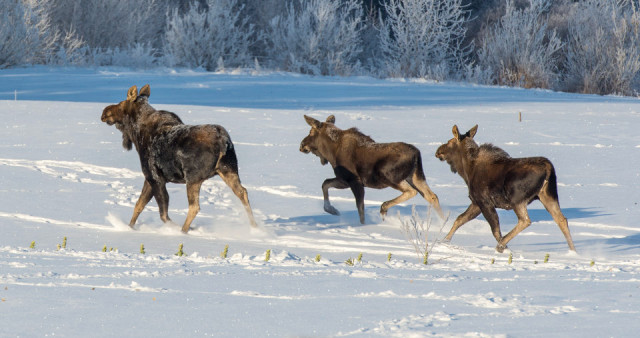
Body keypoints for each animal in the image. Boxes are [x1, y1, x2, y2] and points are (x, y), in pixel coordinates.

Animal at [100, 84, 255, 232]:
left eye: (122, 103)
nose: (104, 112)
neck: (136, 134)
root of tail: (224, 142)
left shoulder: (155, 177)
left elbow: (162, 213)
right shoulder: (150, 178)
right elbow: (139, 205)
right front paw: (129, 227)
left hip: (193, 178)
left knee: (194, 206)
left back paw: (183, 230)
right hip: (228, 170)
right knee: (243, 193)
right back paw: (255, 227)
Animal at [302, 115, 444, 224]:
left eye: (311, 132)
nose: (302, 145)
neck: (331, 153)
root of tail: (416, 154)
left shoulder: (354, 181)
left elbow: (361, 210)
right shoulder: (344, 180)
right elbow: (325, 183)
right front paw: (332, 210)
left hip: (388, 175)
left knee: (412, 191)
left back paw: (384, 208)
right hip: (415, 176)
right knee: (432, 196)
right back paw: (443, 223)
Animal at [436, 124, 576, 251]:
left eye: (450, 142)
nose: (438, 151)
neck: (466, 171)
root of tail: (548, 168)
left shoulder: (484, 202)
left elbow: (495, 229)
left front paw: (505, 248)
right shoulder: (476, 203)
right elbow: (460, 219)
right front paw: (444, 240)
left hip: (517, 198)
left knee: (525, 220)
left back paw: (501, 245)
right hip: (547, 195)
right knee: (561, 219)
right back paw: (573, 252)